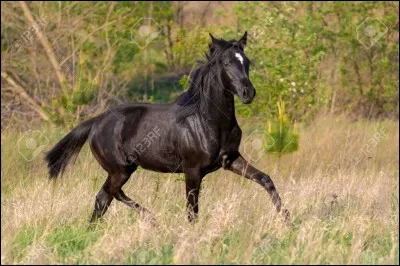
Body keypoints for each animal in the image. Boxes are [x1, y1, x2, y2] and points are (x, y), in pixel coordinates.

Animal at [46, 32, 290, 224]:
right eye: (226, 62)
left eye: (246, 62)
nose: (248, 93)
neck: (209, 122)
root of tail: (96, 121)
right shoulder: (192, 171)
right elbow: (192, 211)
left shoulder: (231, 160)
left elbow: (265, 179)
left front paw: (287, 218)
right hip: (121, 169)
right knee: (111, 193)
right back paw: (152, 218)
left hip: (121, 170)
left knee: (102, 199)